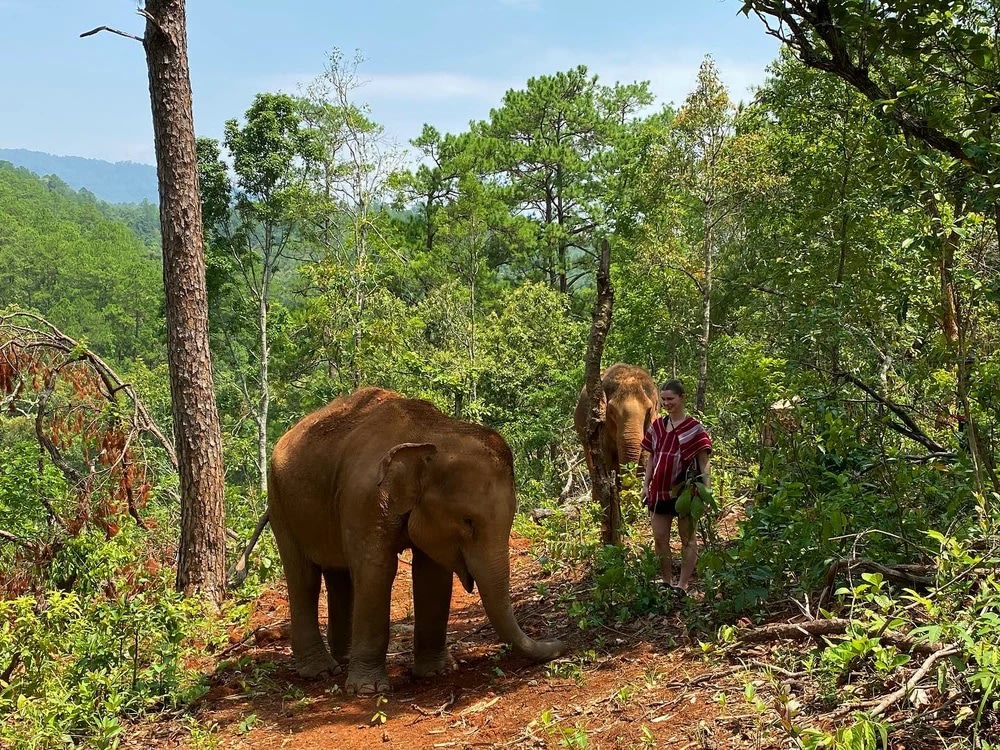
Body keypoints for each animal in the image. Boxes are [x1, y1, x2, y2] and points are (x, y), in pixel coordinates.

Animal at [267, 387, 566, 695]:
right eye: (468, 521)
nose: (561, 644)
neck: (430, 433)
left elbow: (432, 574)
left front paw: (437, 672)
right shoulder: (363, 498)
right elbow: (376, 572)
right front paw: (369, 690)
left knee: (338, 574)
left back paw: (343, 660)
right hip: (277, 499)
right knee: (303, 577)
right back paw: (321, 672)